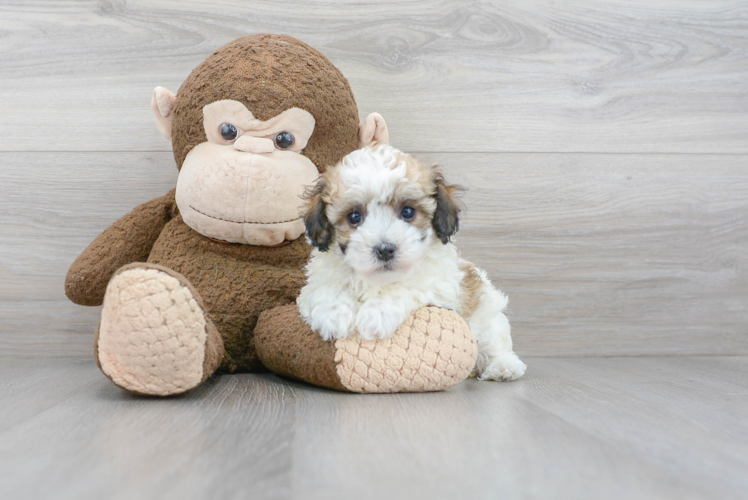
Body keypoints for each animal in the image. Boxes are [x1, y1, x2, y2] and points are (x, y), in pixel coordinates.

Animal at [296, 143, 524, 380]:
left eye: (407, 211)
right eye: (354, 216)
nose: (385, 249)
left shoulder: (439, 283)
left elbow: (406, 287)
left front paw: (376, 314)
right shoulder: (315, 283)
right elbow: (327, 288)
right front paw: (333, 315)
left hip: (487, 318)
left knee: (494, 343)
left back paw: (504, 367)